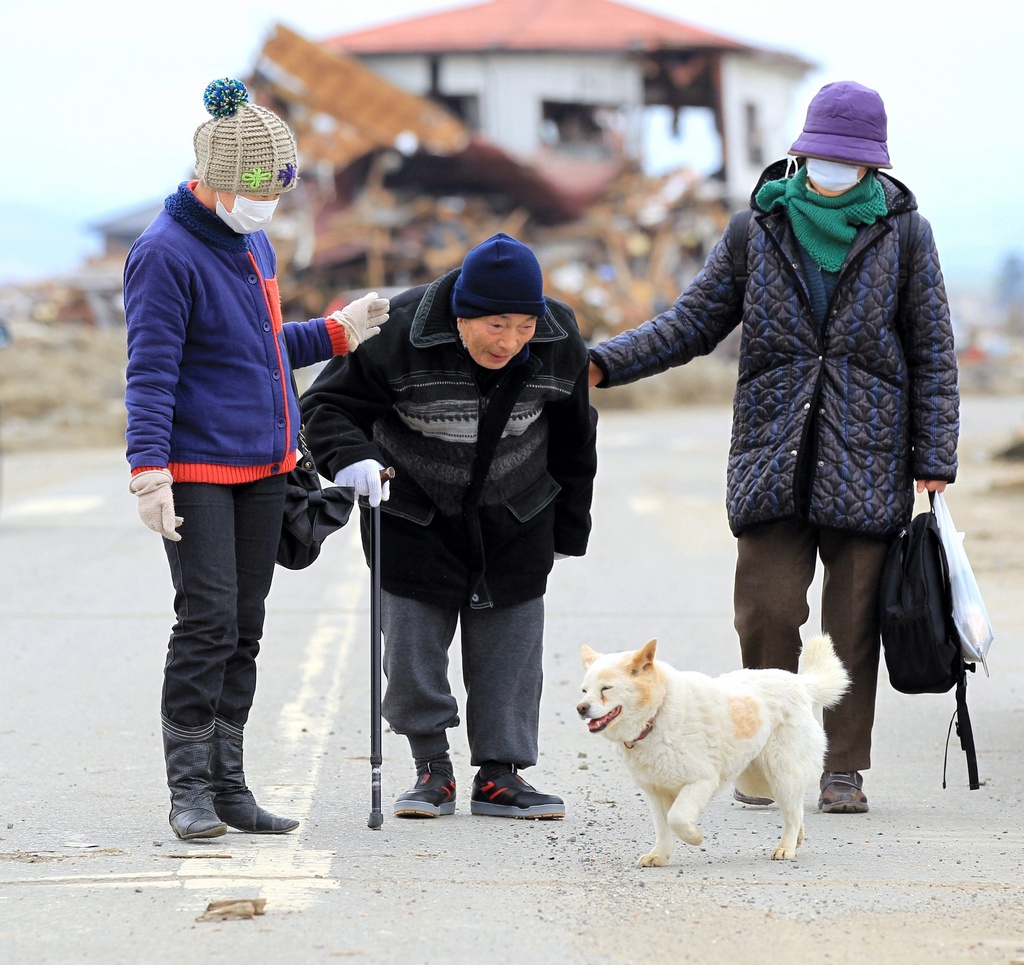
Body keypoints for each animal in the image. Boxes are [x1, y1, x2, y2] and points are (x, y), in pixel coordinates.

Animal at [577, 635, 847, 868]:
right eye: (584, 690)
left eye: (606, 688)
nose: (581, 708)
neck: (657, 714)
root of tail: (800, 683)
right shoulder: (656, 793)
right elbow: (663, 828)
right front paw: (659, 856)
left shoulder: (701, 781)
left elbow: (677, 818)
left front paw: (694, 837)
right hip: (755, 783)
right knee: (795, 809)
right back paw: (798, 837)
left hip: (783, 774)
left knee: (792, 812)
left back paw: (786, 847)